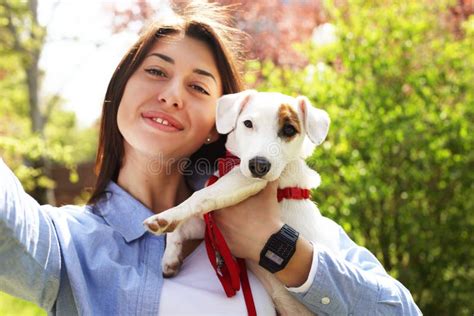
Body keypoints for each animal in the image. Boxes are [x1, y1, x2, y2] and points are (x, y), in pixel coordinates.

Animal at [143, 89, 338, 316]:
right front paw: (170, 257)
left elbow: (200, 196)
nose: (259, 165)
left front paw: (165, 217)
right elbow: (180, 229)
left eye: (289, 129)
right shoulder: (210, 225)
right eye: (248, 123)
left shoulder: (243, 181)